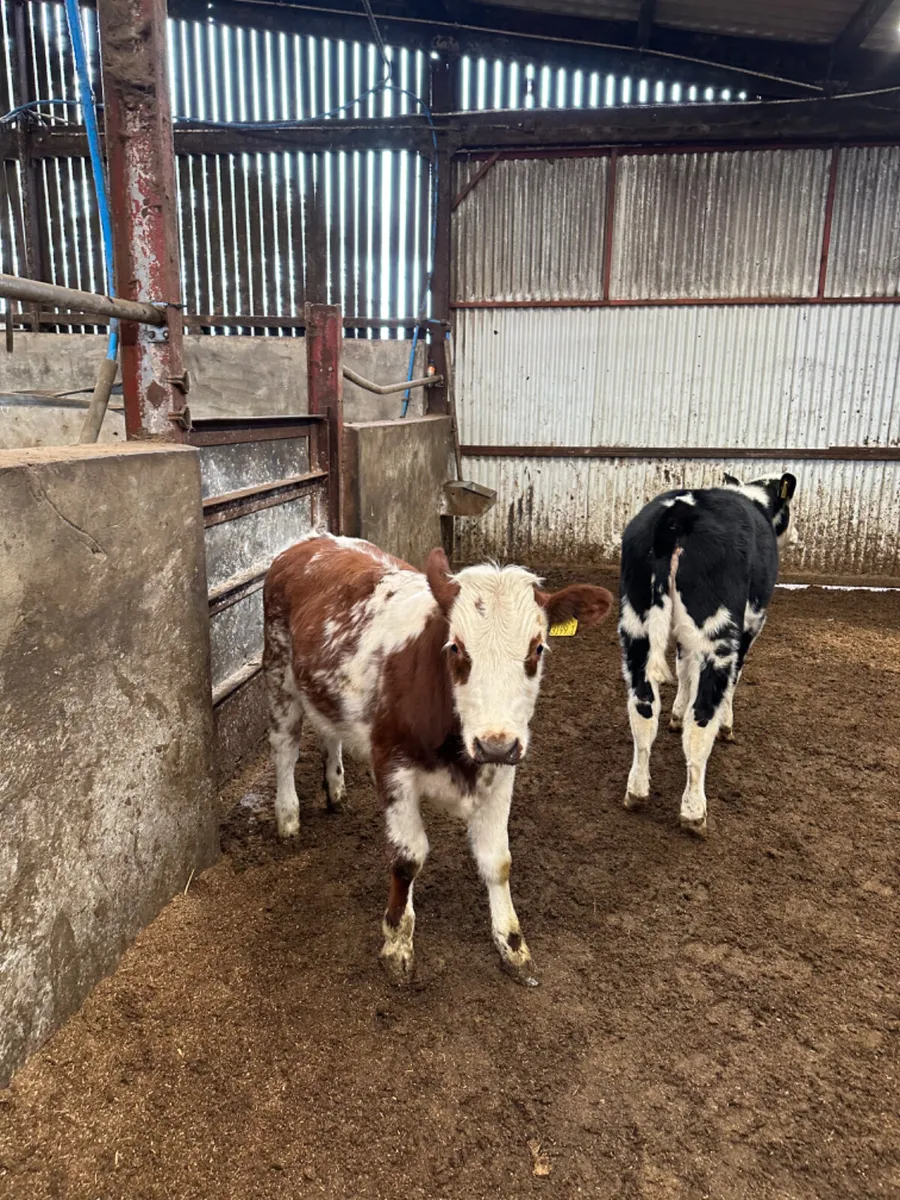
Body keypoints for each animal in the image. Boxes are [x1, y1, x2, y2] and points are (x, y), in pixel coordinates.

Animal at [263, 533, 613, 986]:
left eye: (537, 648)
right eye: (457, 648)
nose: (495, 744)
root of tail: (313, 540)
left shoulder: (502, 771)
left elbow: (498, 861)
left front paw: (512, 944)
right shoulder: (392, 768)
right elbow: (407, 858)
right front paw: (397, 943)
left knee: (329, 732)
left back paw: (336, 789)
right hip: (279, 673)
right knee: (285, 746)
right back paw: (288, 817)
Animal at [617, 472, 798, 838]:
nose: (798, 536)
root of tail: (679, 512)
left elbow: (684, 669)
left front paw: (675, 713)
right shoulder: (750, 627)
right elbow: (730, 683)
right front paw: (727, 724)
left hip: (636, 629)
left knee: (643, 708)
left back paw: (637, 790)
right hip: (719, 635)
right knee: (701, 719)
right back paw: (693, 810)